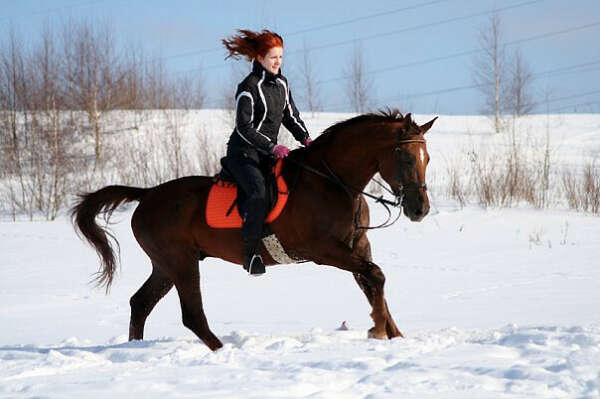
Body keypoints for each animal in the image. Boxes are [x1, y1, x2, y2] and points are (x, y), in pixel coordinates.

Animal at [71, 109, 436, 350]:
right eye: (405, 157)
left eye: (427, 158)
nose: (420, 209)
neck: (332, 182)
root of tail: (146, 194)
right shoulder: (325, 250)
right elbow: (375, 276)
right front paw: (378, 330)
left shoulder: (357, 245)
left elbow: (373, 282)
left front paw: (392, 334)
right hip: (180, 262)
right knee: (191, 315)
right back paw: (223, 351)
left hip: (165, 266)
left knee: (140, 303)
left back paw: (133, 349)